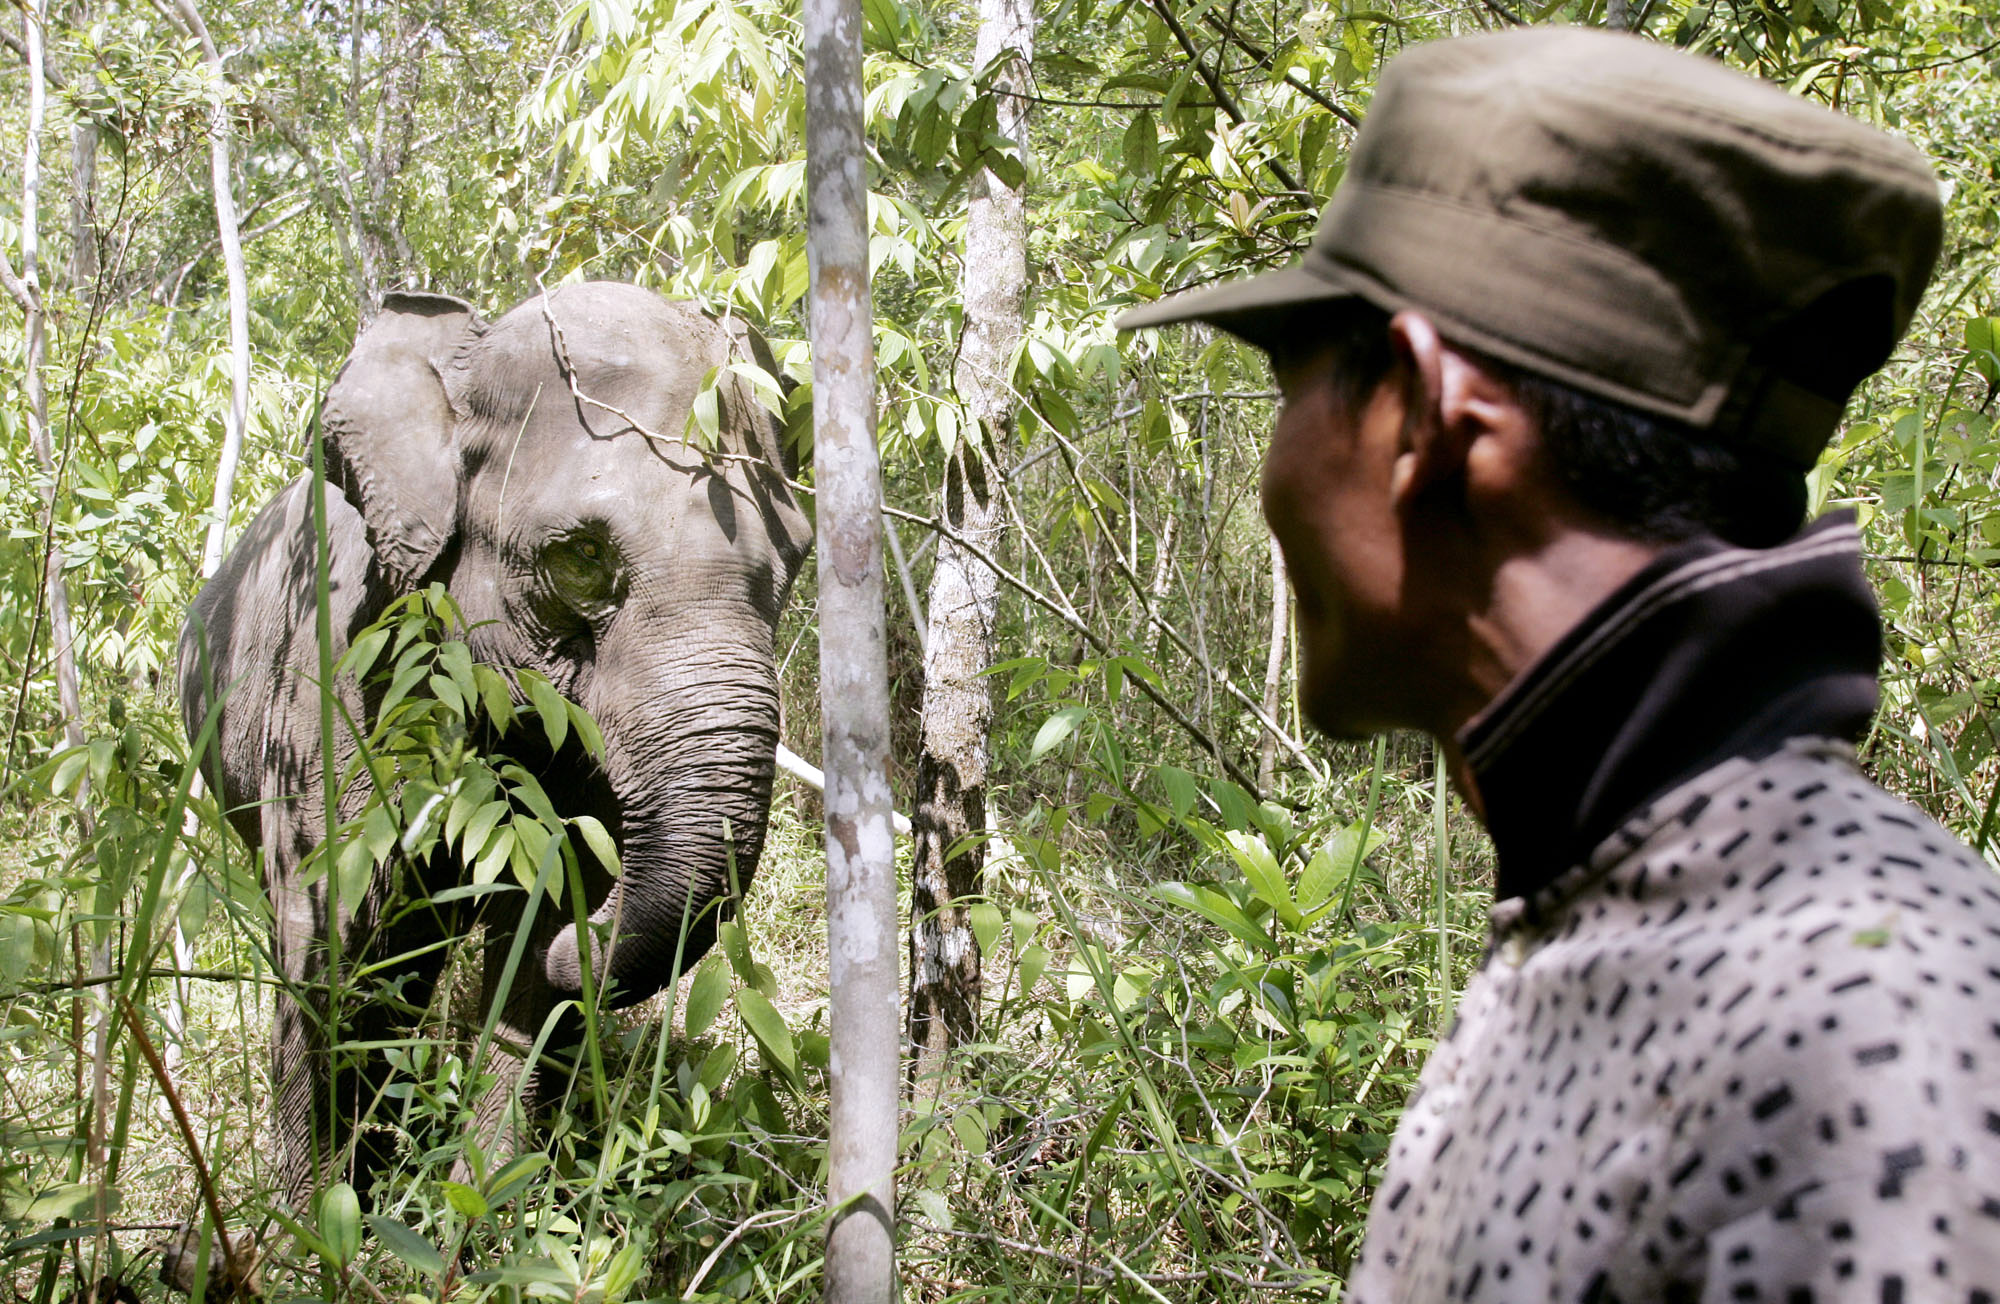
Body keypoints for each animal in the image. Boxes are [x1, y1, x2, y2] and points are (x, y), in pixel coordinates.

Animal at [178, 282, 811, 1202]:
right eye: (582, 558)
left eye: (793, 564)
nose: (591, 939)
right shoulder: (339, 681)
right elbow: (333, 940)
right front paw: (319, 1220)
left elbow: (535, 939)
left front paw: (485, 1205)